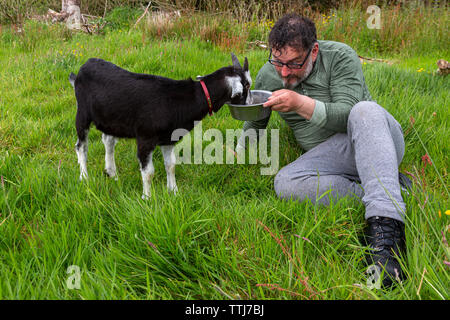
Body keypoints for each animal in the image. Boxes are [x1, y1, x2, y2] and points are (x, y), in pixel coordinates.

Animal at [71, 53, 253, 199]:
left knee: (108, 140)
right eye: (246, 86)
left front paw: (173, 192)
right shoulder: (145, 138)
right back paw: (84, 177)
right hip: (82, 113)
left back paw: (112, 174)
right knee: (81, 146)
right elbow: (148, 172)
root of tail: (84, 66)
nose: (250, 104)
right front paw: (147, 198)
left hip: (110, 118)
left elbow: (171, 165)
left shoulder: (168, 139)